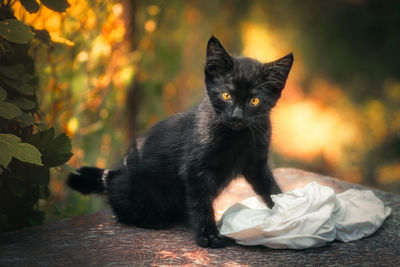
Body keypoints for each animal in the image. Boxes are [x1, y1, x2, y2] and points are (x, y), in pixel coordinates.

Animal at [68, 35, 294, 249]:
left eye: (254, 101)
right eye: (226, 95)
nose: (237, 116)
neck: (237, 137)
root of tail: (114, 174)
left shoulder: (256, 163)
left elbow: (269, 187)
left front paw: (284, 212)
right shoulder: (194, 169)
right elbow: (200, 202)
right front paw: (209, 235)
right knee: (122, 210)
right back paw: (155, 219)